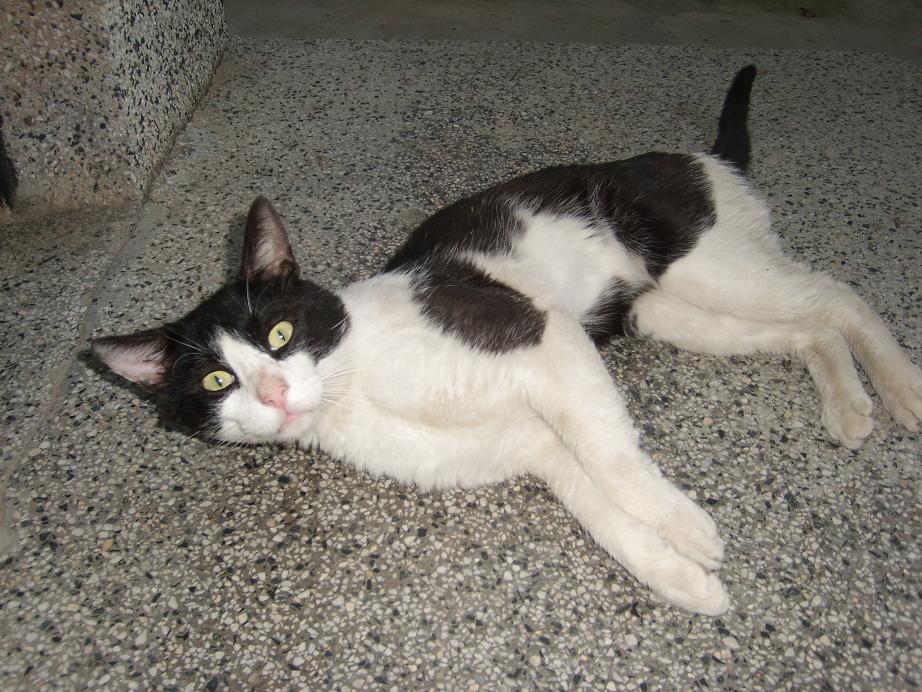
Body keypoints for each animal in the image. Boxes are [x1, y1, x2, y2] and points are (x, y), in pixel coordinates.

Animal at [92, 66, 922, 615]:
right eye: (216, 382)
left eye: (279, 331)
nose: (273, 390)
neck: (357, 386)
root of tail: (706, 157)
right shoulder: (534, 444)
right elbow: (596, 506)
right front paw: (685, 578)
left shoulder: (544, 337)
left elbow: (613, 460)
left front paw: (687, 527)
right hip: (670, 311)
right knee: (807, 326)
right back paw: (850, 407)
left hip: (708, 263)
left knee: (837, 296)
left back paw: (903, 390)